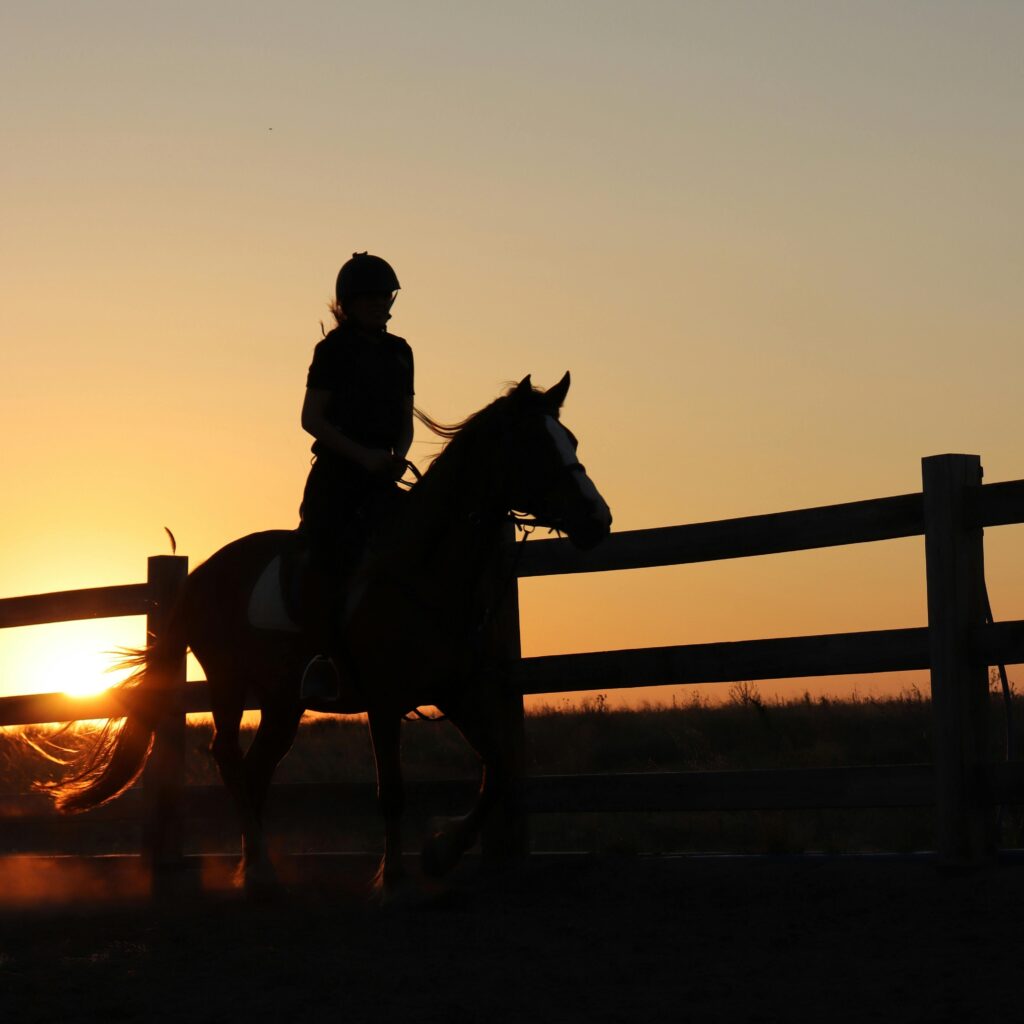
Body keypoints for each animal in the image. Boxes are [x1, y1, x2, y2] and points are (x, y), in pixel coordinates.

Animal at [46, 374, 606, 897]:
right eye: (533, 446)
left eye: (573, 440)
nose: (599, 521)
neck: (423, 570)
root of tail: (200, 574)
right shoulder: (384, 699)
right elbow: (392, 790)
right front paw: (393, 878)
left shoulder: (458, 690)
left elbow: (501, 768)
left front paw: (441, 851)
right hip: (228, 682)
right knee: (229, 759)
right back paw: (259, 872)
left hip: (283, 700)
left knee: (256, 769)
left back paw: (258, 866)